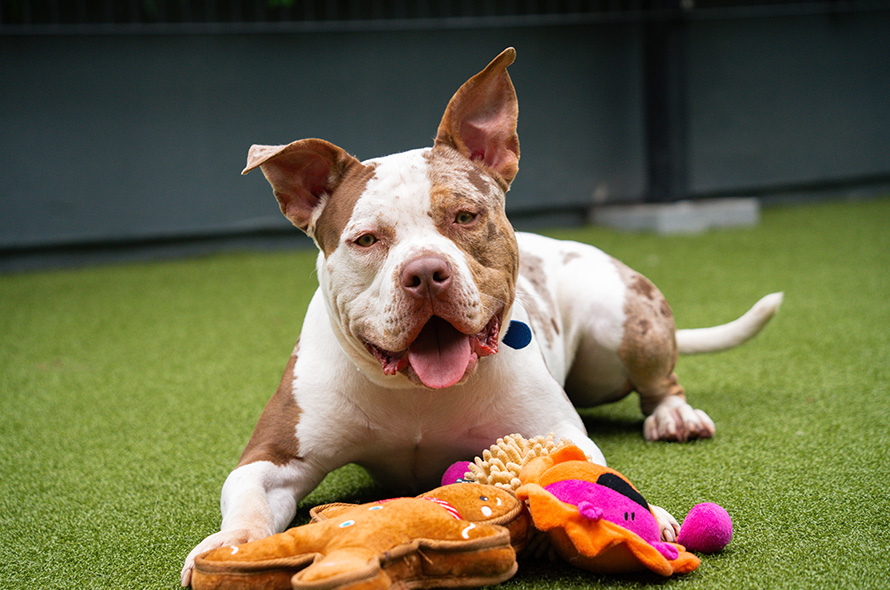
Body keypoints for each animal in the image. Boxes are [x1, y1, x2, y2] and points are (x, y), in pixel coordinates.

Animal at [179, 48, 776, 584]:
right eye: (366, 239)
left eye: (465, 216)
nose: (425, 273)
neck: (418, 393)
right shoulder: (271, 457)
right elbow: (248, 499)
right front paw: (233, 546)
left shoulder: (554, 428)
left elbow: (583, 465)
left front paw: (642, 513)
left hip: (620, 323)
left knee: (660, 379)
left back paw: (675, 416)